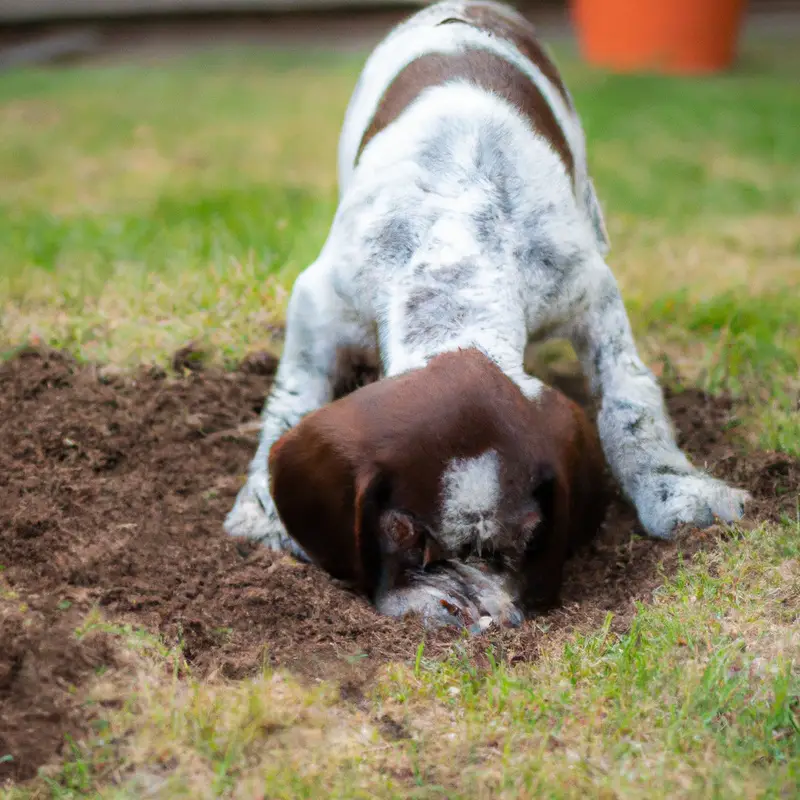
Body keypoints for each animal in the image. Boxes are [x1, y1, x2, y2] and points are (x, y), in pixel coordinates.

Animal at [227, 3, 752, 572]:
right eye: (404, 533)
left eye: (526, 538)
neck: (458, 246)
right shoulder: (322, 297)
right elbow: (294, 396)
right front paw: (263, 510)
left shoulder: (589, 291)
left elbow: (629, 401)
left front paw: (673, 488)